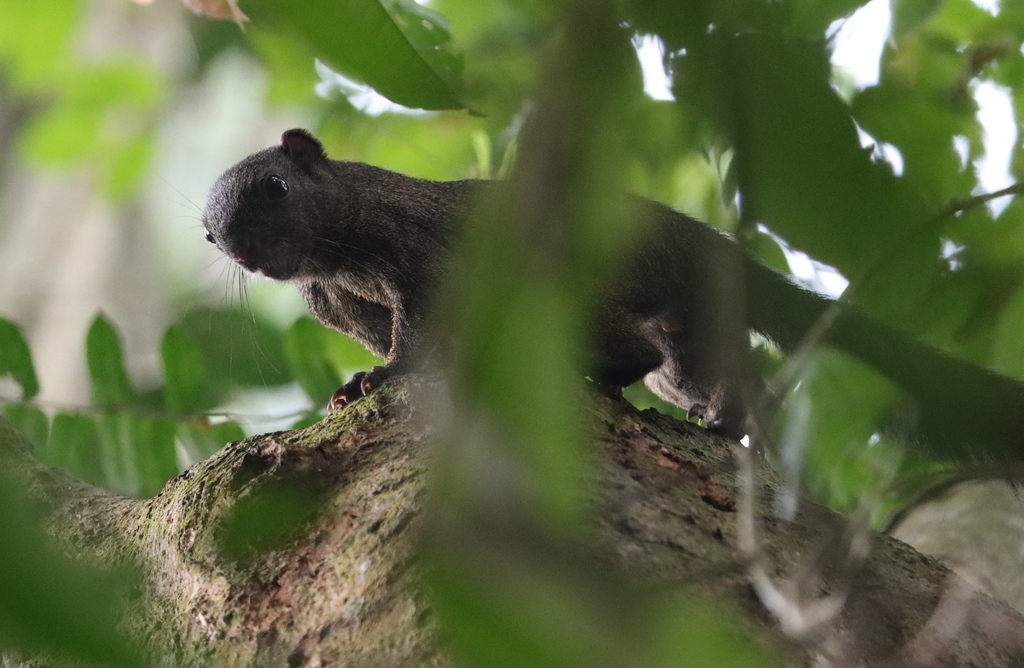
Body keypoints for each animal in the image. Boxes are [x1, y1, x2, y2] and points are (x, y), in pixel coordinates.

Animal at [202, 129, 1024, 462]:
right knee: (704, 372)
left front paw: (381, 379)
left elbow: (418, 339)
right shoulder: (341, 306)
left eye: (275, 186)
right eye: (209, 235)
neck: (337, 261)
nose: (240, 246)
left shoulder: (421, 258)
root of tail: (708, 247)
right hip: (686, 341)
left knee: (649, 355)